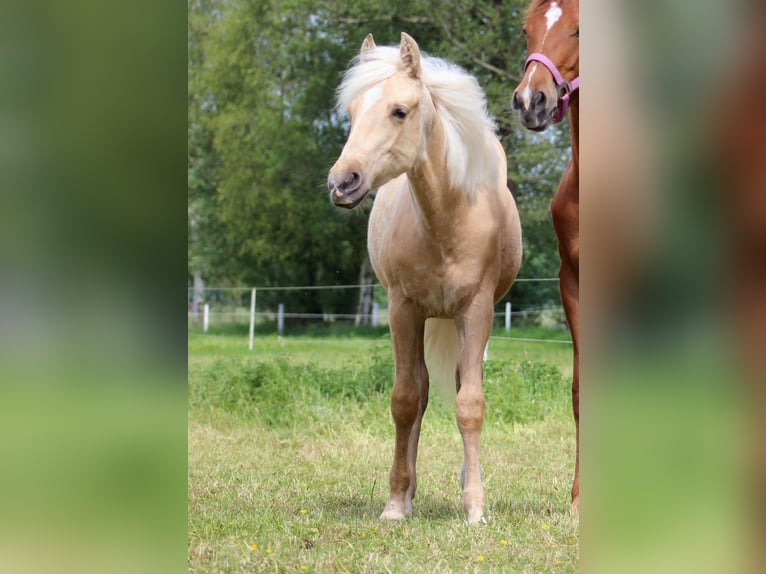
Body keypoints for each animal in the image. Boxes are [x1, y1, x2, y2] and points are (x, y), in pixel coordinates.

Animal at [328, 32, 524, 528]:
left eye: (400, 110)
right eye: (352, 112)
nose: (342, 181)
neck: (447, 221)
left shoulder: (477, 311)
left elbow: (470, 405)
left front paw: (475, 506)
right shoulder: (403, 309)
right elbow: (404, 400)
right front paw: (396, 501)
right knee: (419, 392)